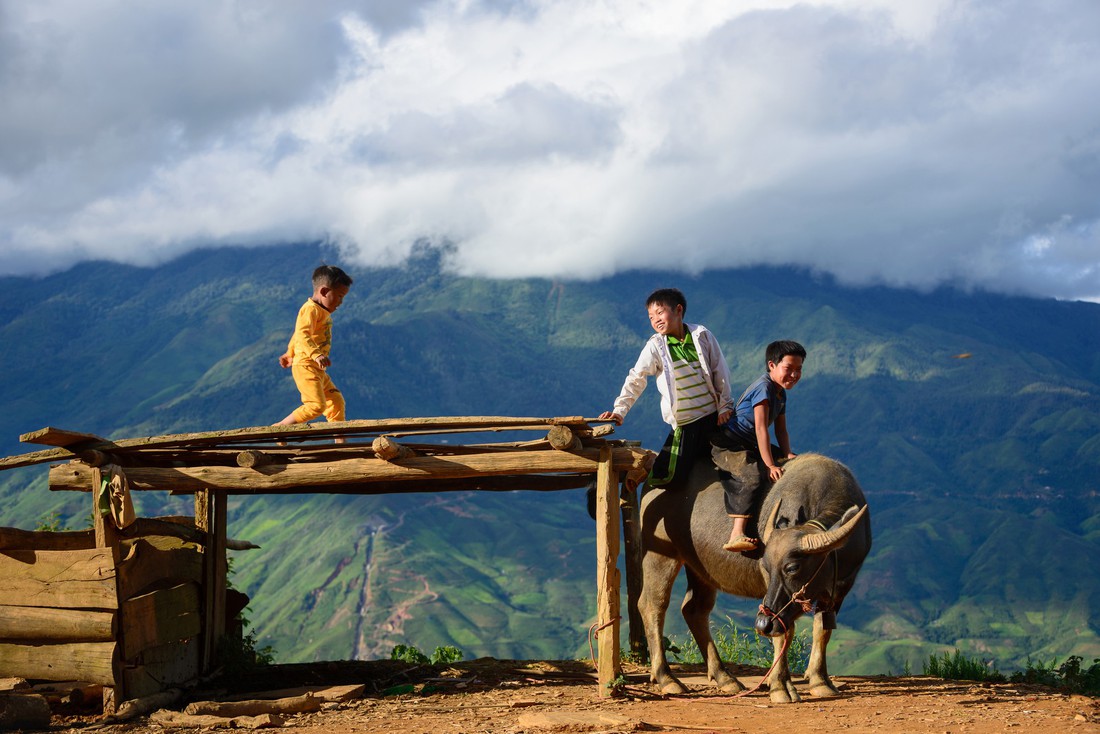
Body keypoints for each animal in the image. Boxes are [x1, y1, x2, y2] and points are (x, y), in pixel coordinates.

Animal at [642, 451, 871, 704]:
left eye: (792, 567)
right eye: (767, 566)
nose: (761, 624)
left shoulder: (841, 588)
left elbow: (823, 630)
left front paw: (821, 682)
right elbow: (784, 633)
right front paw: (780, 687)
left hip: (700, 569)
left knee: (694, 610)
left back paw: (725, 678)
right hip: (660, 554)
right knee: (653, 606)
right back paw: (667, 678)